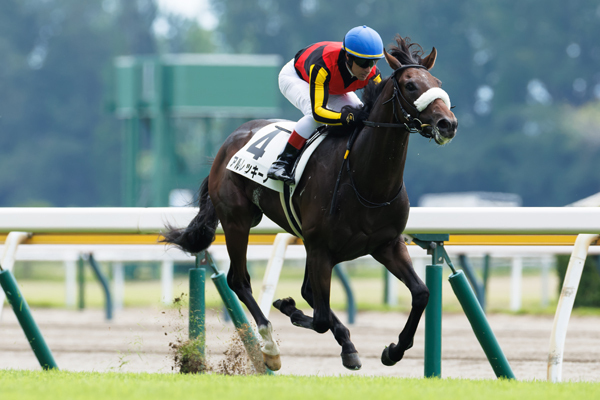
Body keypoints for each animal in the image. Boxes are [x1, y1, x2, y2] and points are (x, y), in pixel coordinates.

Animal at [162, 35, 458, 372]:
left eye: (437, 82)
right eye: (410, 85)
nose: (448, 124)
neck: (366, 180)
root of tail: (228, 142)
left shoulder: (386, 244)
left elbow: (421, 293)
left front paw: (393, 350)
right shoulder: (320, 248)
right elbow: (319, 318)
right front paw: (290, 309)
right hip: (238, 221)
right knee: (239, 281)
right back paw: (270, 346)